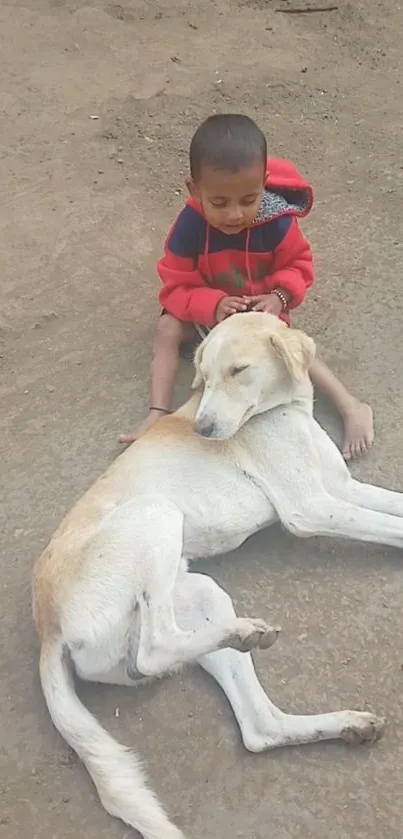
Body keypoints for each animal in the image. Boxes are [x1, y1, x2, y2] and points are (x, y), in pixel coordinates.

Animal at [34, 314, 403, 839]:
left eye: (238, 370)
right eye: (202, 378)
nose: (204, 430)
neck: (282, 411)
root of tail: (47, 627)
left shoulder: (343, 489)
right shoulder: (312, 508)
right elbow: (393, 528)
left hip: (201, 597)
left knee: (259, 729)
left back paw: (341, 720)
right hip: (156, 512)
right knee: (154, 649)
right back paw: (248, 633)